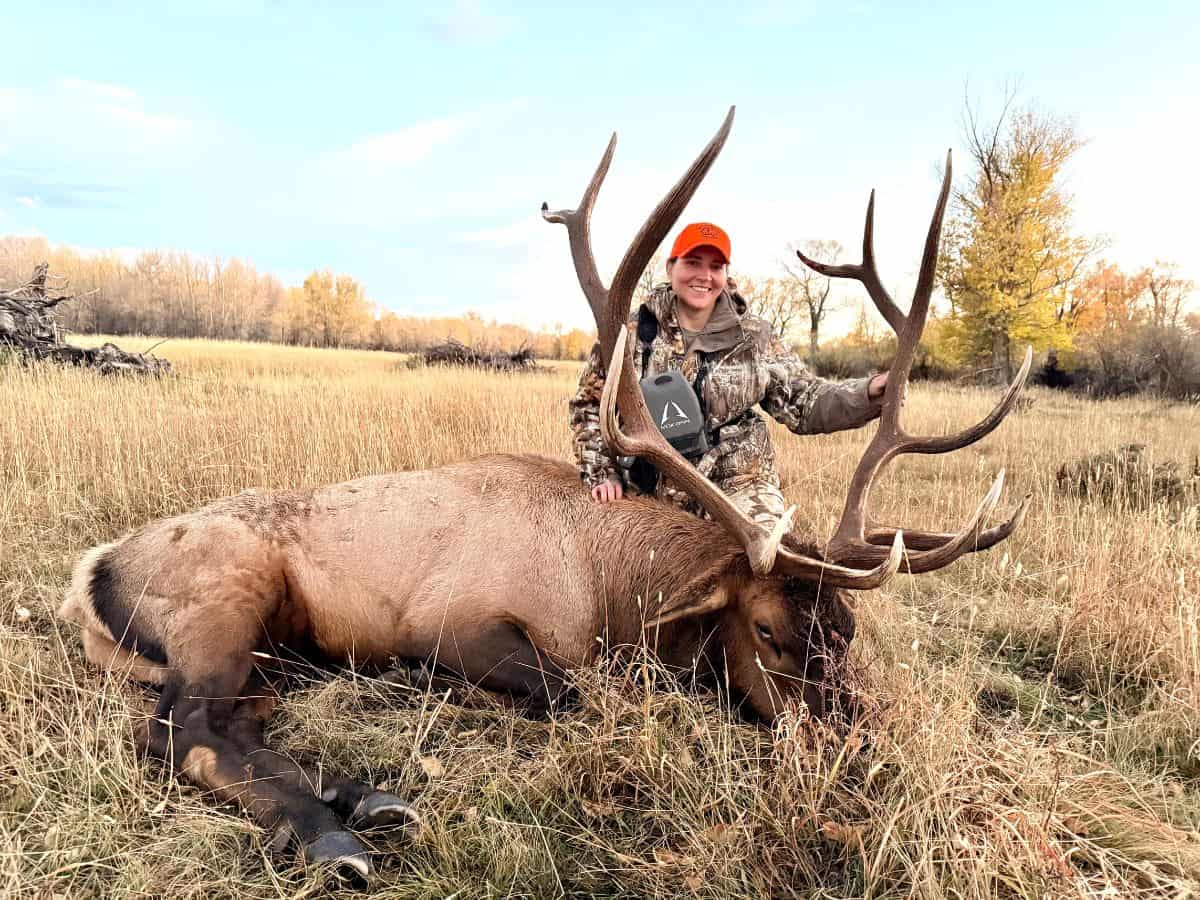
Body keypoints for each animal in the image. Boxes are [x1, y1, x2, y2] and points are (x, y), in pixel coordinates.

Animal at [57, 106, 1031, 881]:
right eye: (766, 633)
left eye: (847, 630)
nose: (859, 753)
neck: (606, 590)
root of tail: (90, 574)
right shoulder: (453, 620)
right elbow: (581, 691)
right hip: (226, 597)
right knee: (183, 731)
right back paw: (338, 836)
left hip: (269, 652)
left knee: (229, 721)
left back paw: (366, 798)